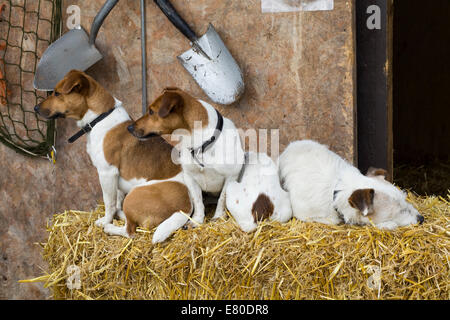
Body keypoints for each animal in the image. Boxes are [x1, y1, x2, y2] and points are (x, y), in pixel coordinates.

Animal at [33, 69, 192, 241]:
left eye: (56, 93)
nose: (35, 108)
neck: (99, 118)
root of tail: (186, 208)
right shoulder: (114, 179)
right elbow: (116, 200)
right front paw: (115, 213)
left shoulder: (106, 173)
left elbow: (108, 202)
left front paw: (105, 221)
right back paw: (121, 215)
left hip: (134, 196)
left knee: (130, 231)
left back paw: (110, 227)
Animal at [280, 140, 424, 230]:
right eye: (400, 209)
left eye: (405, 200)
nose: (421, 218)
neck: (336, 191)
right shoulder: (304, 213)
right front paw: (388, 224)